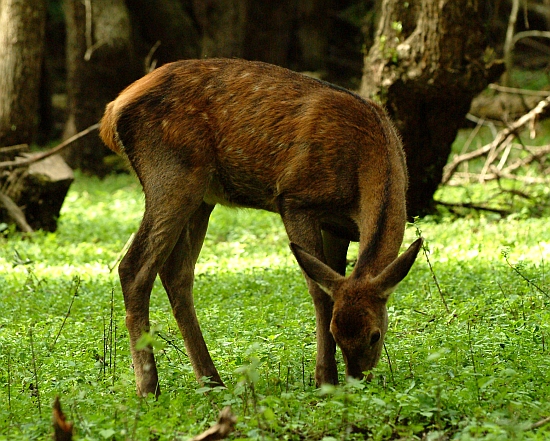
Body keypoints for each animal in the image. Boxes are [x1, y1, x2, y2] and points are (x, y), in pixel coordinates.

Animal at [101, 58, 424, 396]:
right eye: (337, 331)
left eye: (375, 334)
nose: (357, 380)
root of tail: (110, 114)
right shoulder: (296, 199)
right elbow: (318, 292)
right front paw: (324, 380)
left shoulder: (336, 227)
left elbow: (330, 280)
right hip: (172, 173)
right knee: (134, 267)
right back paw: (149, 387)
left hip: (201, 195)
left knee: (176, 273)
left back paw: (212, 381)